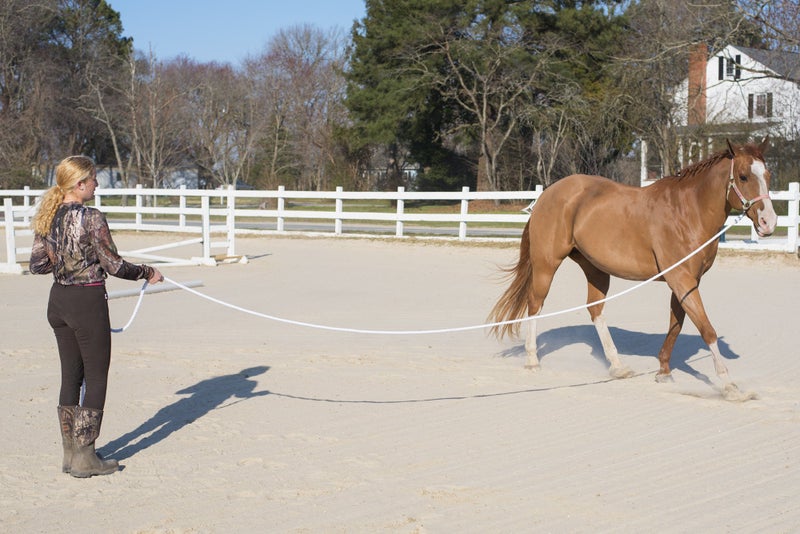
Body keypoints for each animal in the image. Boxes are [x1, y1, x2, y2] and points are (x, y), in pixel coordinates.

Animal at [488, 139, 777, 399]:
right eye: (743, 176)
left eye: (768, 175)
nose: (769, 222)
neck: (687, 212)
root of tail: (547, 194)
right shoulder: (681, 279)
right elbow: (706, 329)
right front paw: (730, 386)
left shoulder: (686, 281)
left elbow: (676, 324)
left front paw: (664, 371)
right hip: (546, 264)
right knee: (535, 305)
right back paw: (532, 360)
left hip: (595, 269)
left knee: (595, 309)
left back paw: (618, 367)